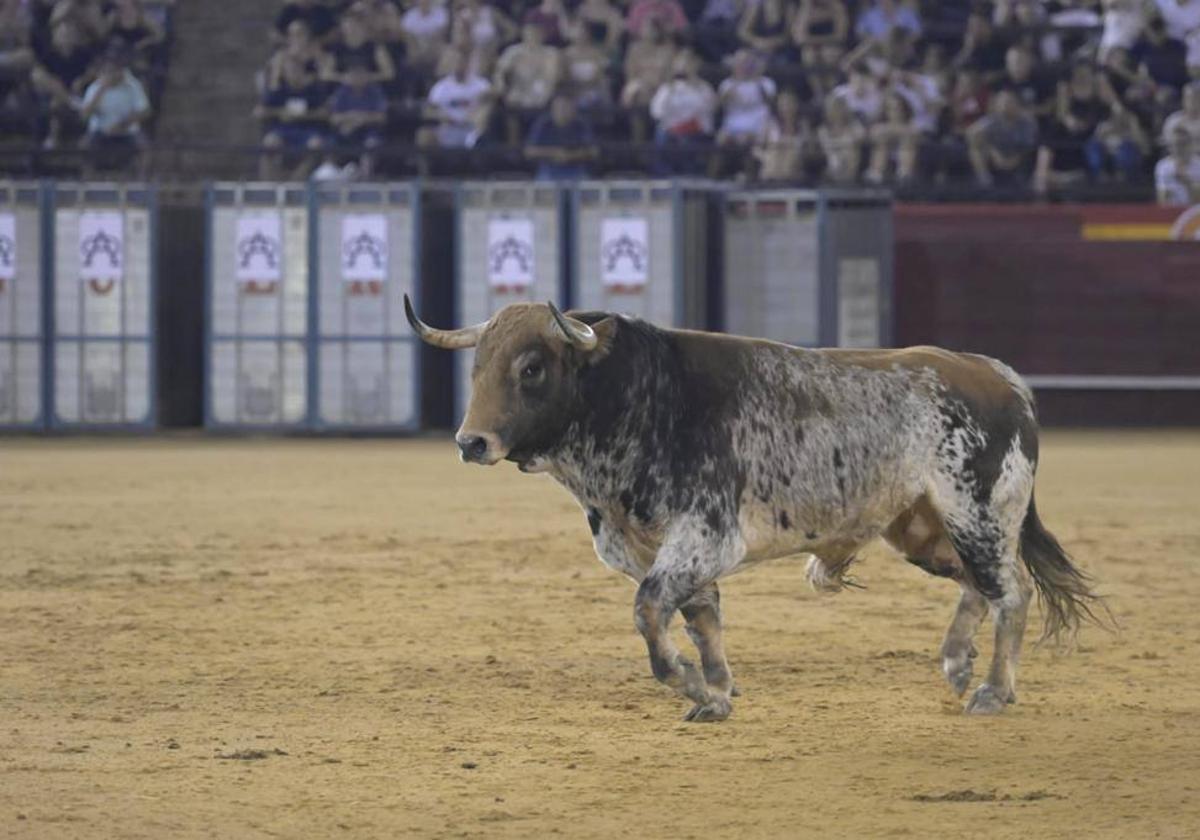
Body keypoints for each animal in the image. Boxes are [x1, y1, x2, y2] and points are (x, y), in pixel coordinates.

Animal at [405, 296, 1104, 720]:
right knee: (975, 585)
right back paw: (958, 664)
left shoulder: (703, 537)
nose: (471, 441)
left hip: (978, 516)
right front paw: (716, 692)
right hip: (922, 529)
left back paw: (993, 690)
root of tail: (999, 376)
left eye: (531, 367)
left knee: (1010, 591)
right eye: (478, 366)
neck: (640, 399)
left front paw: (689, 683)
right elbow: (700, 619)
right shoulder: (665, 551)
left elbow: (650, 611)